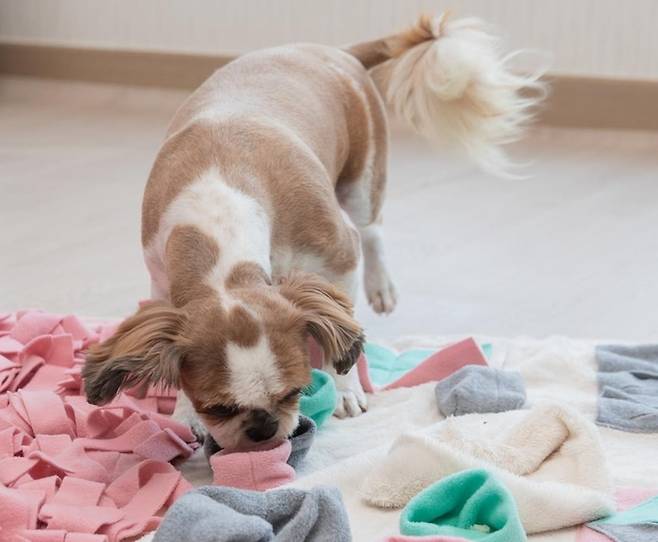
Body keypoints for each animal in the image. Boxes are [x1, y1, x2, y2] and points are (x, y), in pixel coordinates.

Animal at [82, 13, 544, 454]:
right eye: (217, 407)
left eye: (295, 392)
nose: (263, 428)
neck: (219, 205)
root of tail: (339, 52)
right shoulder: (162, 282)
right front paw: (183, 412)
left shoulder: (337, 260)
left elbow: (342, 332)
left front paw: (344, 389)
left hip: (362, 181)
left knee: (372, 230)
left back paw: (381, 285)